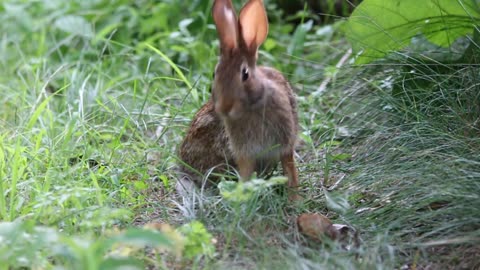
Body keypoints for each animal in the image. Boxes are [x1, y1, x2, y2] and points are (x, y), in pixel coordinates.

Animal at [177, 0, 296, 198]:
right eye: (214, 74)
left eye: (245, 74)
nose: (225, 107)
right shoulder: (244, 149)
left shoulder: (284, 140)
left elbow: (289, 168)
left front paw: (295, 199)